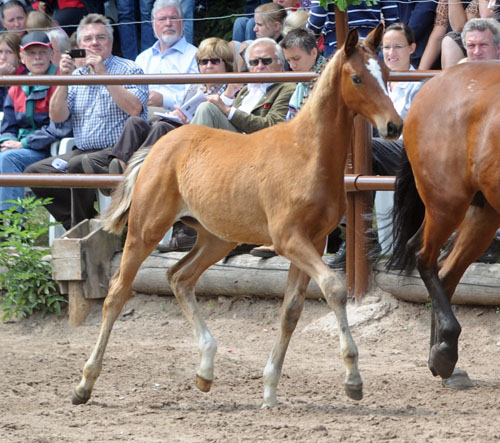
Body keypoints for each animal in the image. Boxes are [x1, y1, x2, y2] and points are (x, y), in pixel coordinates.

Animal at [71, 25, 402, 410]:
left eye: (387, 74)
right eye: (358, 78)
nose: (394, 126)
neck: (307, 154)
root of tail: (159, 146)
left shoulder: (315, 241)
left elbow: (291, 310)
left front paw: (270, 390)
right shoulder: (289, 239)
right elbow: (333, 288)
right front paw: (353, 380)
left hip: (216, 239)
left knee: (179, 277)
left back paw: (205, 371)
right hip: (145, 230)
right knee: (117, 294)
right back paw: (84, 384)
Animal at [388, 61, 500, 386]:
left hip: (483, 213)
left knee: (446, 271)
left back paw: (440, 359)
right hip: (447, 204)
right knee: (423, 256)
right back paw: (445, 351)